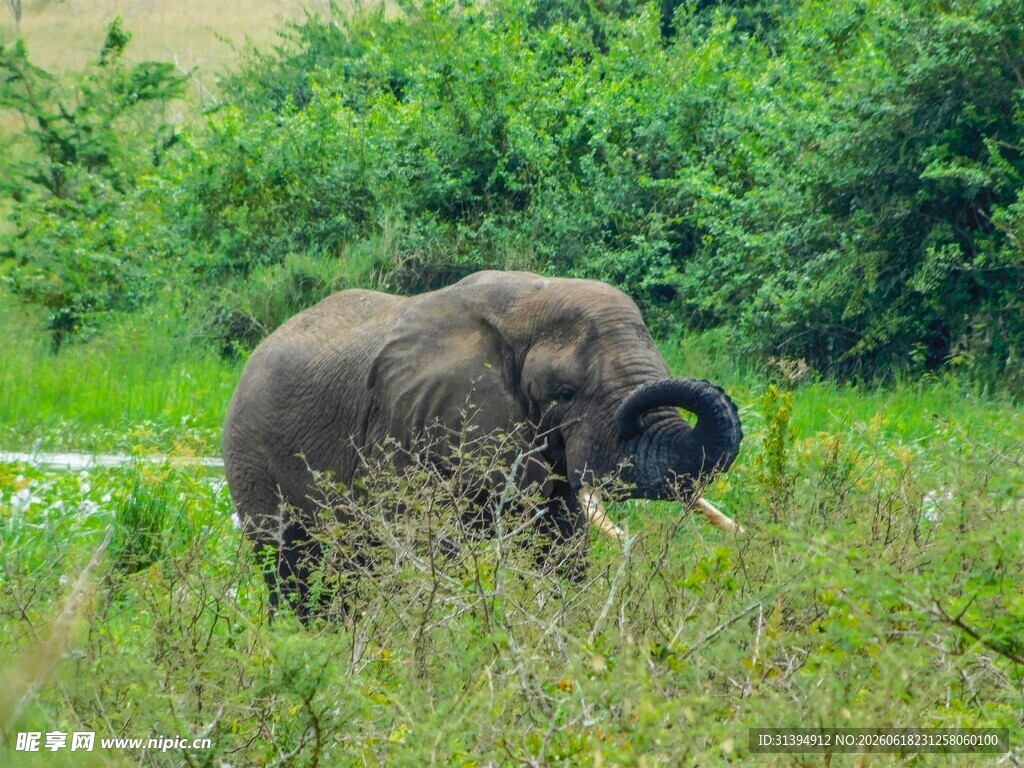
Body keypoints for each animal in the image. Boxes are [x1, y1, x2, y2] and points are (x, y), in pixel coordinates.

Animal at [223, 271, 743, 621]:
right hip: (251, 458)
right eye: (564, 394)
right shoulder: (410, 426)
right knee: (291, 566)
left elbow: (560, 544)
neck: (530, 300)